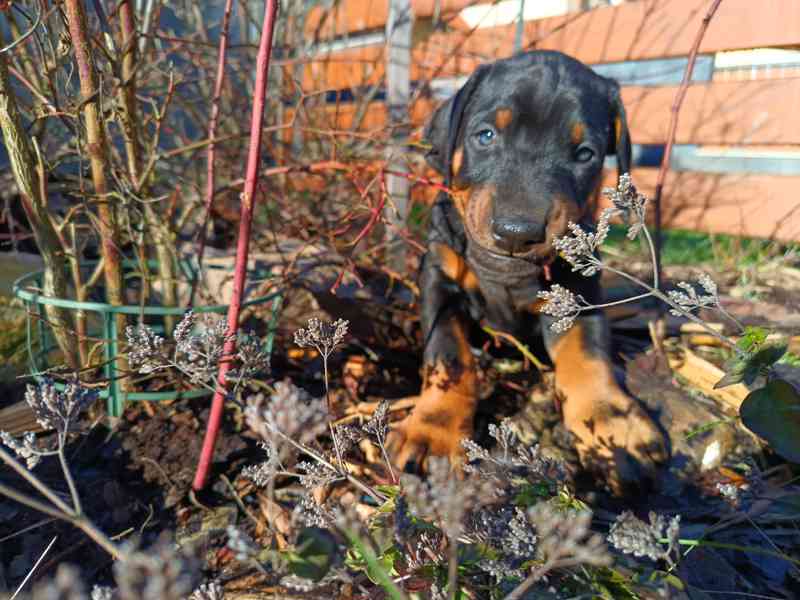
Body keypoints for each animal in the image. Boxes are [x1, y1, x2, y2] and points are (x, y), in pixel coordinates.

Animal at [388, 50, 668, 492]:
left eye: (585, 154)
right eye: (485, 135)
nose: (517, 232)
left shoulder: (578, 291)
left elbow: (586, 353)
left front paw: (612, 422)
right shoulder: (438, 276)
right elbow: (448, 356)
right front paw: (434, 429)